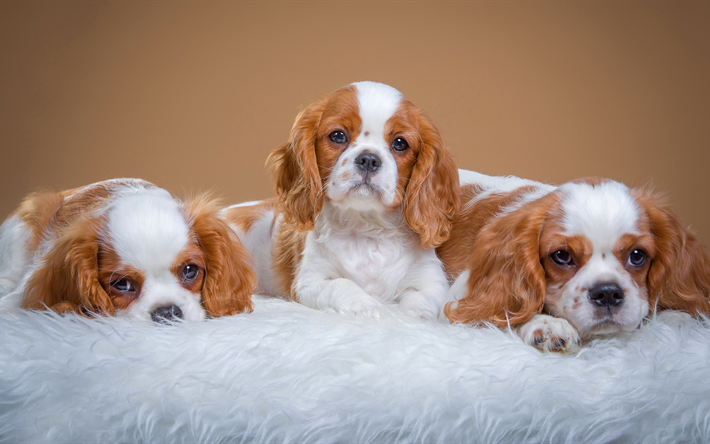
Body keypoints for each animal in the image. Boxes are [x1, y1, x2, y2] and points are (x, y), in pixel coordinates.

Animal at [225, 81, 464, 320]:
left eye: (400, 143)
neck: (366, 228)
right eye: (338, 136)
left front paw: (406, 318)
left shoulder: (432, 282)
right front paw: (372, 309)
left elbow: (417, 304)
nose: (369, 159)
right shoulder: (309, 281)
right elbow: (341, 285)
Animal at [440, 169, 710, 350]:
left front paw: (673, 317)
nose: (607, 293)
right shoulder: (459, 298)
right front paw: (546, 323)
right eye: (562, 256)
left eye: (637, 256)